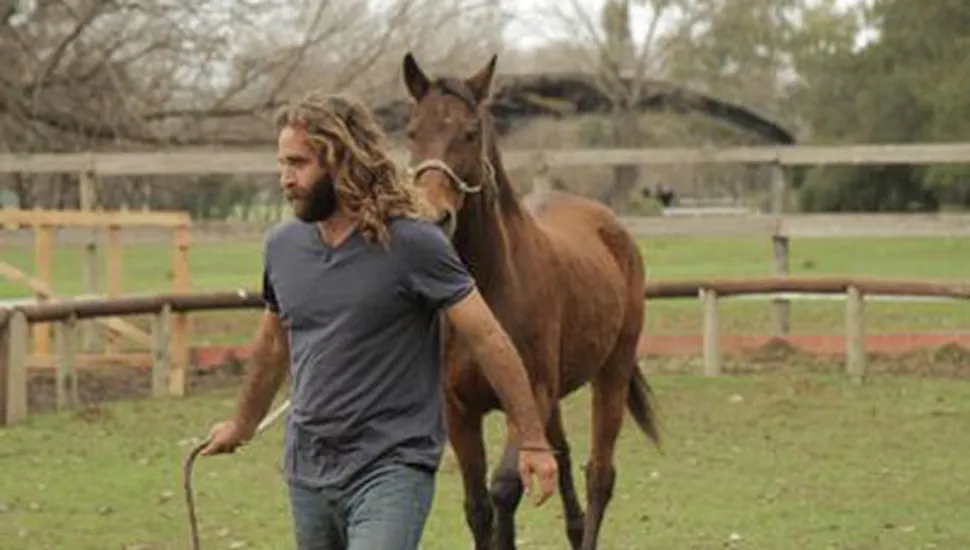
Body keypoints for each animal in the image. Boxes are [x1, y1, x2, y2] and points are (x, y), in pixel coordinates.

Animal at [400, 52, 662, 550]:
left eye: (470, 132)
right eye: (411, 131)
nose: (433, 217)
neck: (488, 287)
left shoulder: (530, 397)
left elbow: (506, 488)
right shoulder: (459, 409)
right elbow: (478, 506)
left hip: (612, 373)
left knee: (599, 475)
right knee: (562, 459)